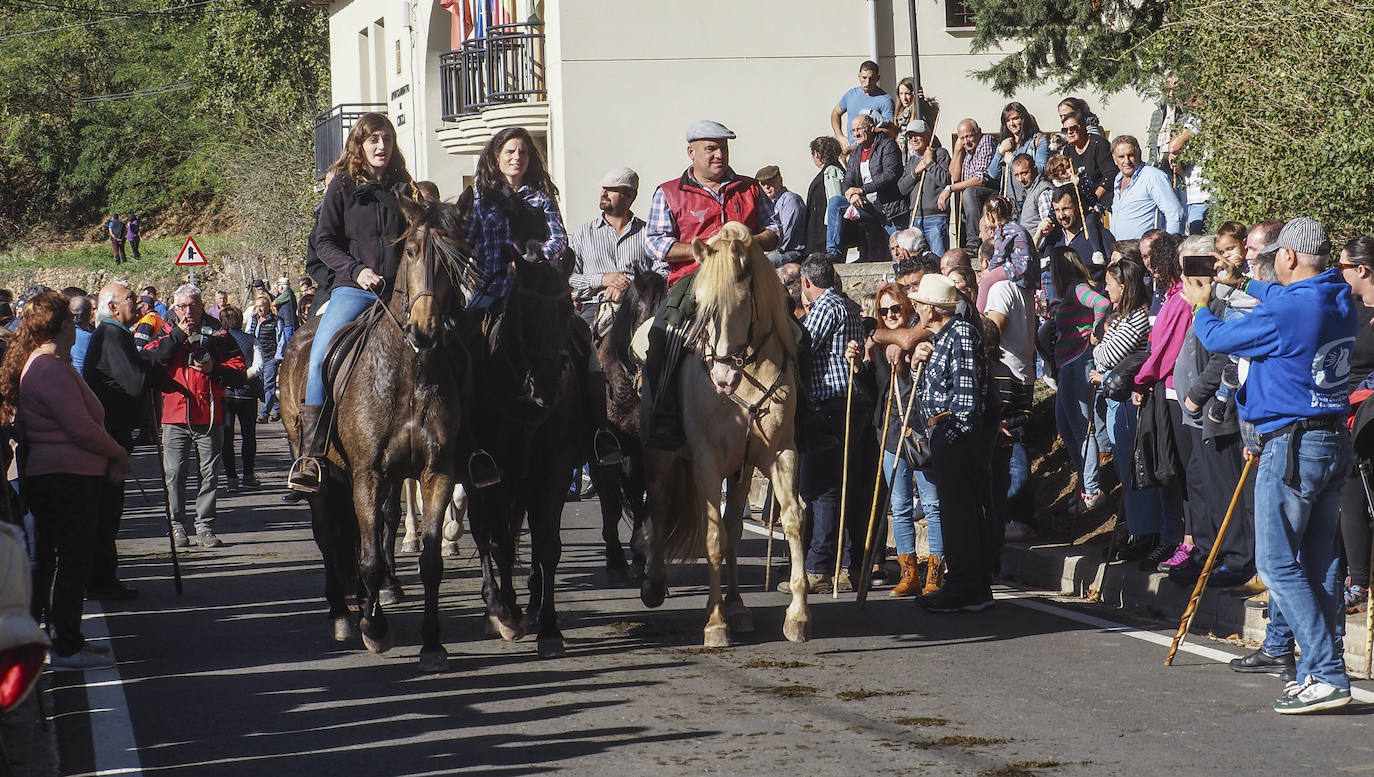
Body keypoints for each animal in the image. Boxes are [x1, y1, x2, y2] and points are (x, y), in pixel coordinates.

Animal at [276, 192, 480, 672]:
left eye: (461, 256)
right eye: (413, 251)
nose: (425, 330)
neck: (410, 372)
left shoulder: (435, 472)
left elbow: (429, 561)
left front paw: (431, 643)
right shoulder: (368, 475)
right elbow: (367, 558)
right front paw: (374, 628)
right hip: (319, 469)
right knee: (328, 537)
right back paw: (341, 614)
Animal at [637, 222, 807, 647]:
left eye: (742, 301)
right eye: (700, 304)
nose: (722, 377)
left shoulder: (779, 453)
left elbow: (793, 520)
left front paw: (797, 615)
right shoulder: (706, 461)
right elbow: (712, 537)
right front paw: (715, 624)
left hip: (741, 468)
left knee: (733, 527)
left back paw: (738, 607)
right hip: (661, 457)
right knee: (660, 509)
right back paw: (655, 583)